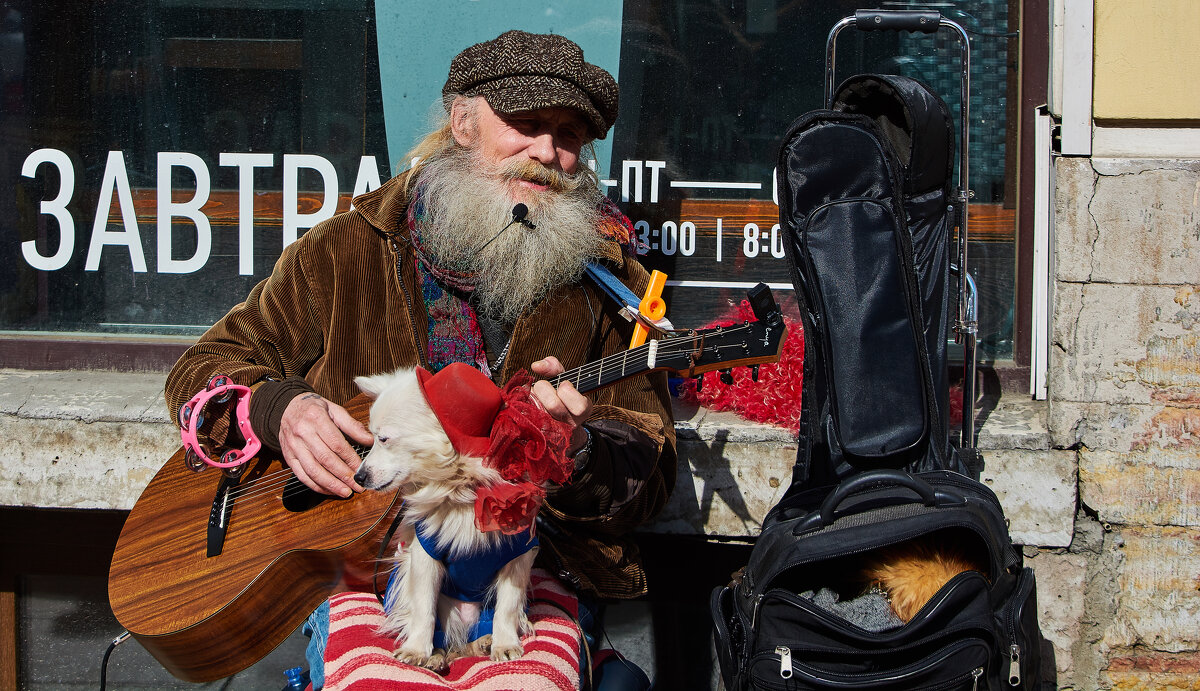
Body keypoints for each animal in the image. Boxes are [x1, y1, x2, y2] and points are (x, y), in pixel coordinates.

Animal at [352, 367, 547, 676]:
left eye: (383, 439)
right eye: (371, 439)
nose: (358, 476)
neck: (459, 489)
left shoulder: (517, 557)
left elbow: (507, 606)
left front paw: (505, 643)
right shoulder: (424, 558)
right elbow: (424, 610)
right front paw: (417, 650)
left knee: (474, 635)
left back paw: (485, 642)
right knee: (444, 637)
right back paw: (436, 656)